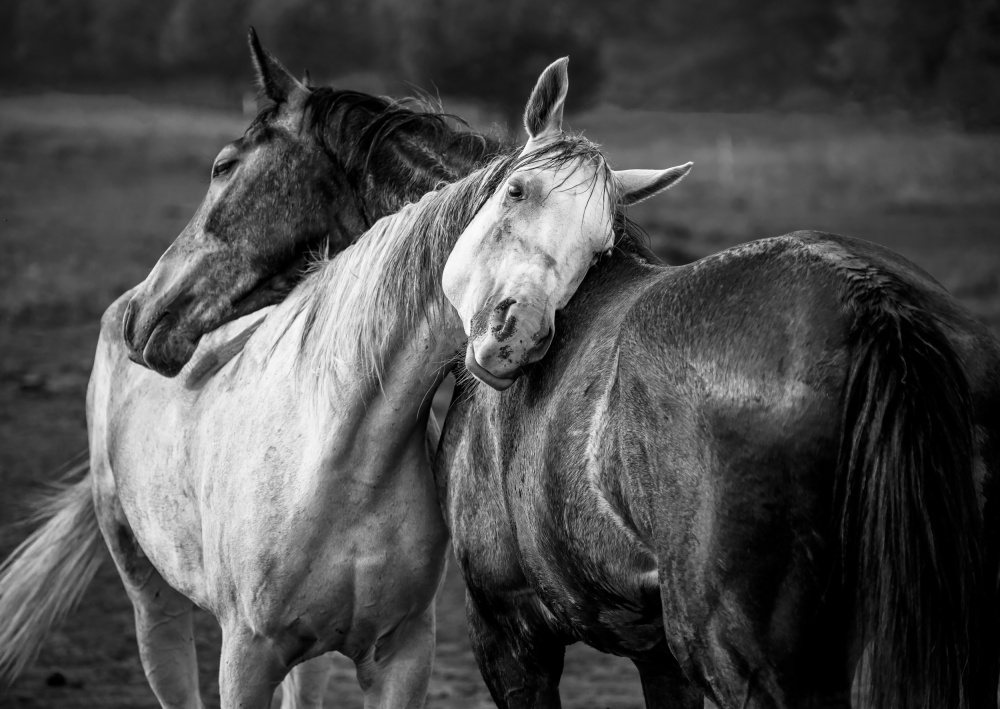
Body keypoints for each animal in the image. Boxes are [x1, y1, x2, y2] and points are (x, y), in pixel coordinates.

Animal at [0, 31, 504, 708]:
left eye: (222, 166)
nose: (141, 316)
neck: (347, 450)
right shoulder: (245, 654)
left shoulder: (402, 653)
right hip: (149, 596)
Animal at [437, 58, 1000, 709]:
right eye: (516, 191)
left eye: (599, 244)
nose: (520, 334)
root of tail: (871, 297)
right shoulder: (657, 655)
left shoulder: (508, 632)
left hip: (731, 650)